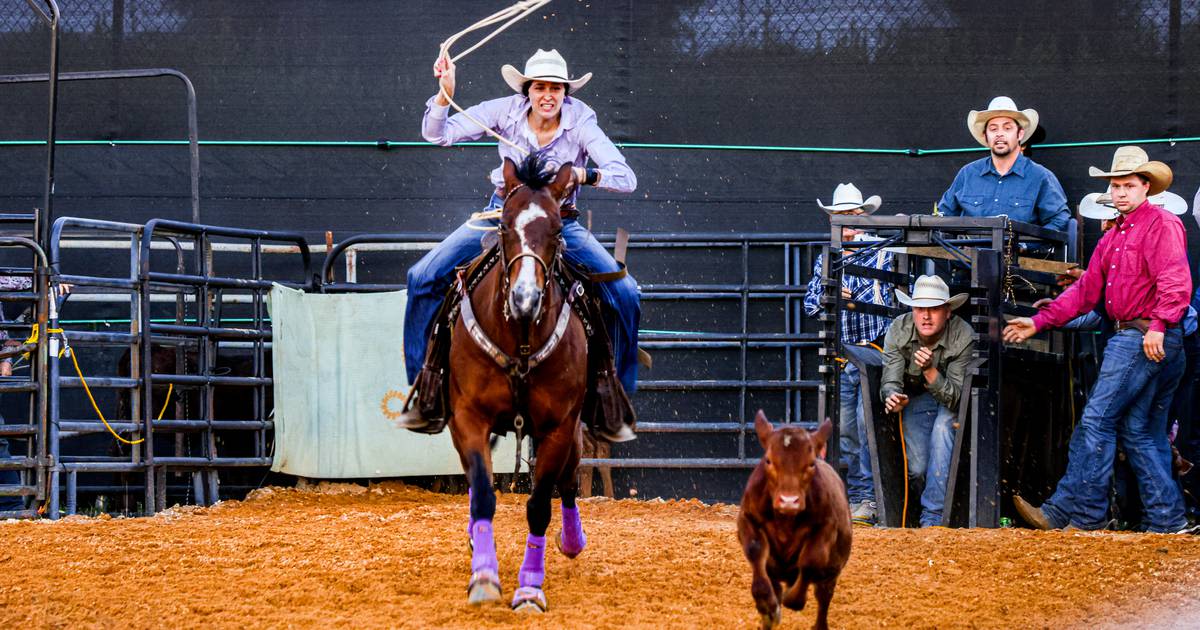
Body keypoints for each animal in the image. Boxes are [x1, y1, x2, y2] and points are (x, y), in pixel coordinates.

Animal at [451, 154, 590, 612]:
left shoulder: (559, 426)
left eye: (558, 230)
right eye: (504, 227)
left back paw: (572, 541)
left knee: (569, 482)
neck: (522, 335)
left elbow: (540, 505)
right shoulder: (468, 416)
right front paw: (484, 577)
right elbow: (482, 493)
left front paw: (529, 588)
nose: (525, 299)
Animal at [729, 410, 854, 628]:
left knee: (823, 597)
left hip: (833, 570)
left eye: (811, 463)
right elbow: (755, 551)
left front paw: (794, 599)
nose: (789, 501)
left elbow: (811, 561)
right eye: (769, 460)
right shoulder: (748, 519)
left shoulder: (826, 527)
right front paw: (767, 605)